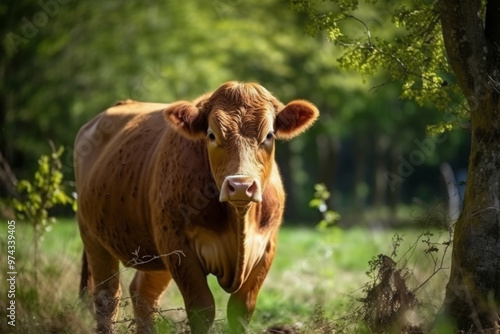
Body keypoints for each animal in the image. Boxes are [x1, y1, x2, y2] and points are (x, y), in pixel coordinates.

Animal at [76, 81, 318, 334]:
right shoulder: (178, 246)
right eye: (211, 135)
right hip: (92, 237)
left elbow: (241, 311)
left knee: (143, 294)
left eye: (269, 135)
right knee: (107, 297)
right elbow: (202, 309)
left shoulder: (266, 248)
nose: (241, 186)